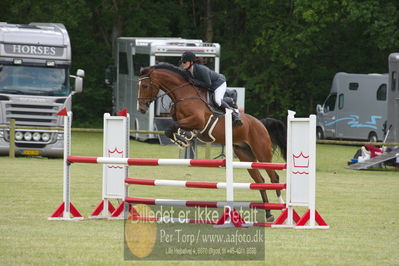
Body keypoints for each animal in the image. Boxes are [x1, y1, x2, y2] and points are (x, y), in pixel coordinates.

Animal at [138, 63, 288, 221]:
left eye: (146, 86)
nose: (141, 108)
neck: (183, 95)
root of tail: (260, 123)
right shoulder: (181, 121)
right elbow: (170, 129)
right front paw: (183, 140)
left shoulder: (196, 120)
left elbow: (172, 127)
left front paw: (184, 139)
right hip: (245, 155)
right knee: (260, 181)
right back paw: (268, 213)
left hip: (262, 153)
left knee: (274, 177)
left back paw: (281, 207)